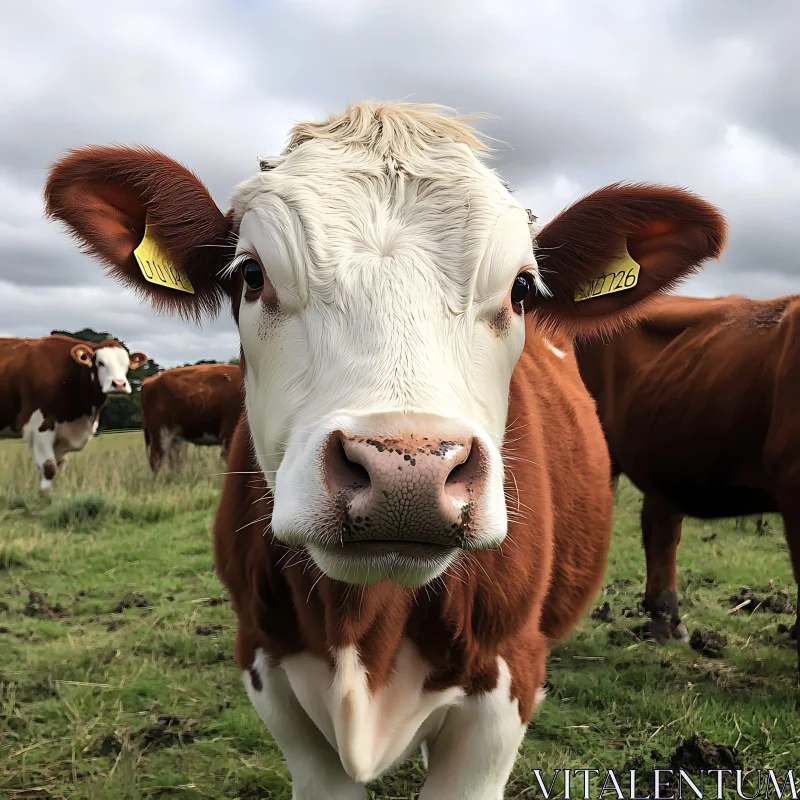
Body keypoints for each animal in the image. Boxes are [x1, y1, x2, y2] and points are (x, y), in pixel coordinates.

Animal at [0, 332, 147, 488]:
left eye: (126, 365)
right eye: (100, 363)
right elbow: (48, 468)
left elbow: (59, 467)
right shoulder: (38, 426)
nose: (119, 384)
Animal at [43, 103, 724, 796]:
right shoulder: (267, 670)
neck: (364, 621)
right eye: (252, 274)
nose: (408, 473)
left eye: (522, 289)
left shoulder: (507, 684)